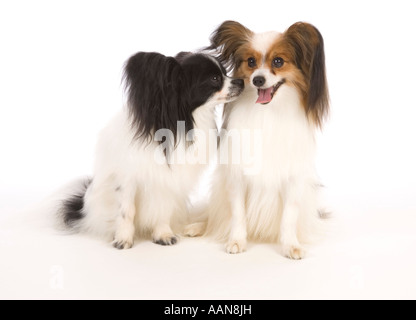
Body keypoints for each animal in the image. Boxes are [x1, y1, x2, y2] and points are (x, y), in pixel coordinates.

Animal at [58, 51, 244, 249]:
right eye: (215, 79)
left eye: (225, 72)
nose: (241, 81)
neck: (181, 123)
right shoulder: (127, 179)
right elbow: (126, 211)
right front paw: (123, 239)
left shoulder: (168, 180)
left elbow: (162, 208)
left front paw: (163, 234)